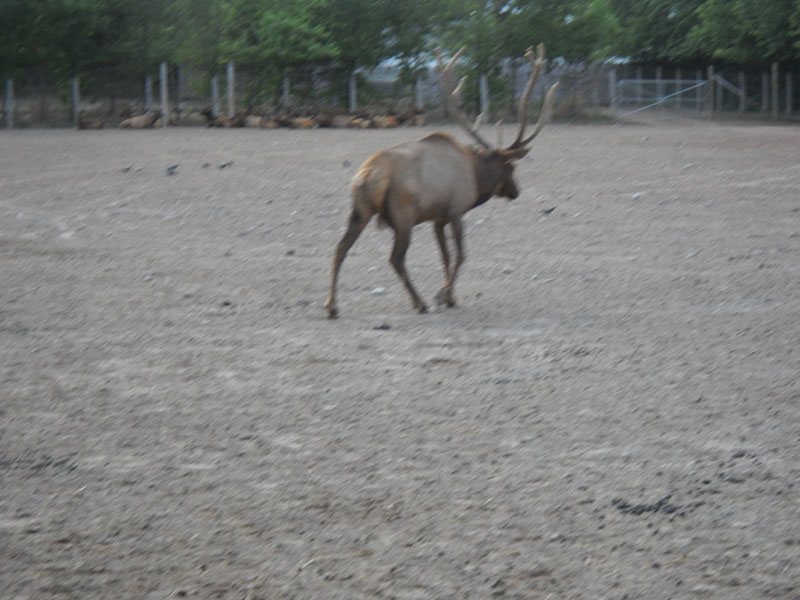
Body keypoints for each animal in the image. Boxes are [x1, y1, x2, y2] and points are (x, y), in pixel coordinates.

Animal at [324, 44, 558, 318]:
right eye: (511, 166)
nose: (515, 191)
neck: (475, 176)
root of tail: (368, 173)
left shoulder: (437, 218)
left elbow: (445, 256)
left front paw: (451, 297)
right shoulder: (456, 209)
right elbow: (461, 254)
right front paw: (443, 295)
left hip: (360, 211)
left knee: (340, 248)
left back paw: (332, 305)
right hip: (403, 215)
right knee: (396, 258)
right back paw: (420, 302)